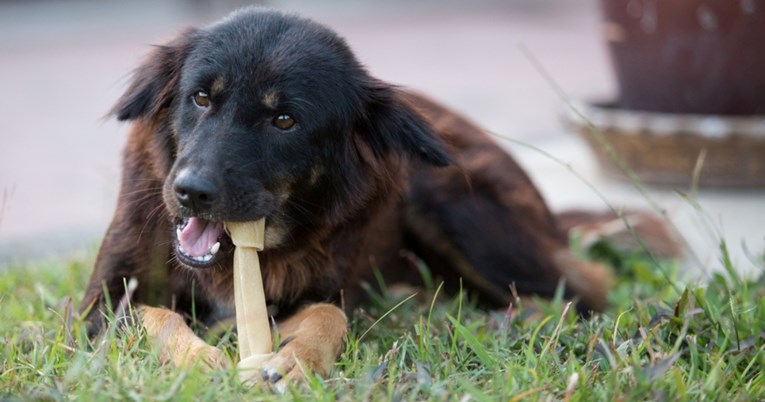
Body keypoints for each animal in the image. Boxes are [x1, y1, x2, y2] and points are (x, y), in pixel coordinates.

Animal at [77, 7, 616, 386]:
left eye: (285, 120)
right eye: (202, 98)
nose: (191, 192)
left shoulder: (328, 287)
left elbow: (330, 312)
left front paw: (297, 359)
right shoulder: (92, 308)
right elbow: (148, 314)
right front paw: (196, 357)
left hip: (444, 200)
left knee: (584, 287)